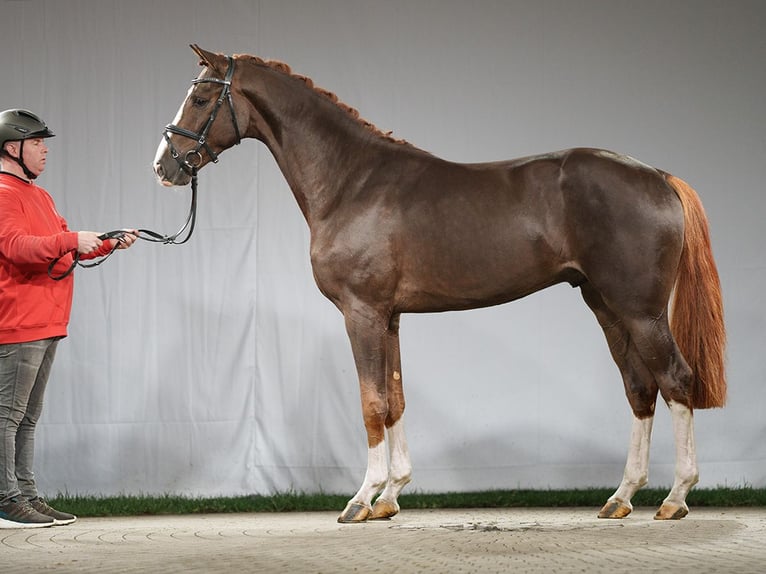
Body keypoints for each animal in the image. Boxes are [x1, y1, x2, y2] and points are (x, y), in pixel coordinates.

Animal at [154, 44, 728, 520]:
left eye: (201, 97)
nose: (165, 167)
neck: (351, 181)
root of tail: (659, 177)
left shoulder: (361, 313)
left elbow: (371, 403)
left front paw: (361, 499)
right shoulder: (388, 318)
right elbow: (395, 399)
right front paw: (390, 497)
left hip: (641, 310)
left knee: (676, 379)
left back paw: (675, 498)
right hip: (606, 305)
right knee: (640, 387)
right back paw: (621, 497)